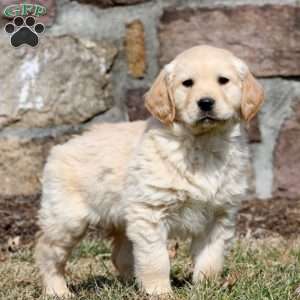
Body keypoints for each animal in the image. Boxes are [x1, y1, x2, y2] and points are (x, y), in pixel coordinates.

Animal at [35, 45, 264, 296]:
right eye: (187, 83)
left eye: (223, 80)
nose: (205, 102)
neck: (201, 144)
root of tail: (61, 147)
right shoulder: (150, 212)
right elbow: (156, 259)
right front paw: (159, 292)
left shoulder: (219, 215)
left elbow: (211, 258)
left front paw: (207, 287)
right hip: (66, 218)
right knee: (47, 251)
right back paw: (57, 290)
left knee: (120, 255)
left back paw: (130, 284)